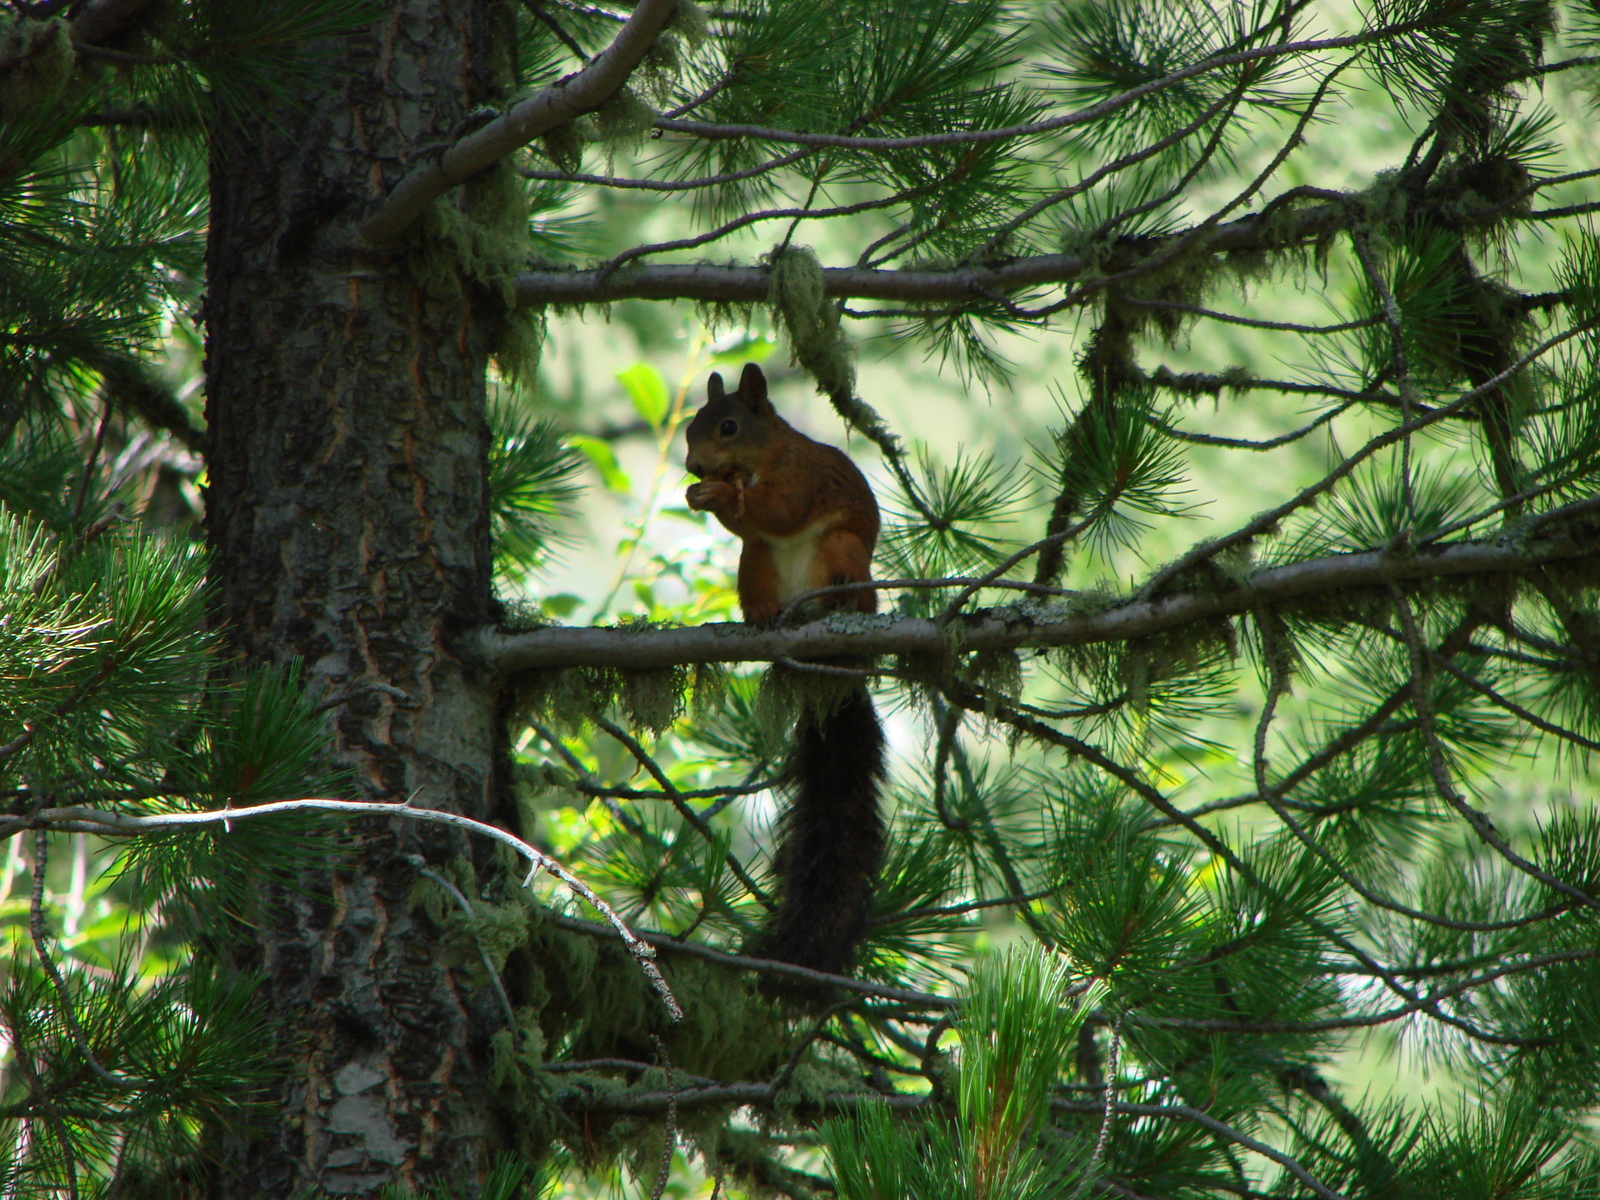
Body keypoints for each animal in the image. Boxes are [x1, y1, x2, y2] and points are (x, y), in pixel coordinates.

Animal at [684, 364, 889, 979]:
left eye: (728, 426)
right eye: (690, 427)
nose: (693, 468)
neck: (764, 457)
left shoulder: (800, 480)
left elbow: (778, 510)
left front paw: (720, 494)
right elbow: (756, 524)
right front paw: (703, 494)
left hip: (841, 550)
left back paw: (839, 605)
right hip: (754, 565)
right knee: (757, 566)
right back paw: (761, 617)